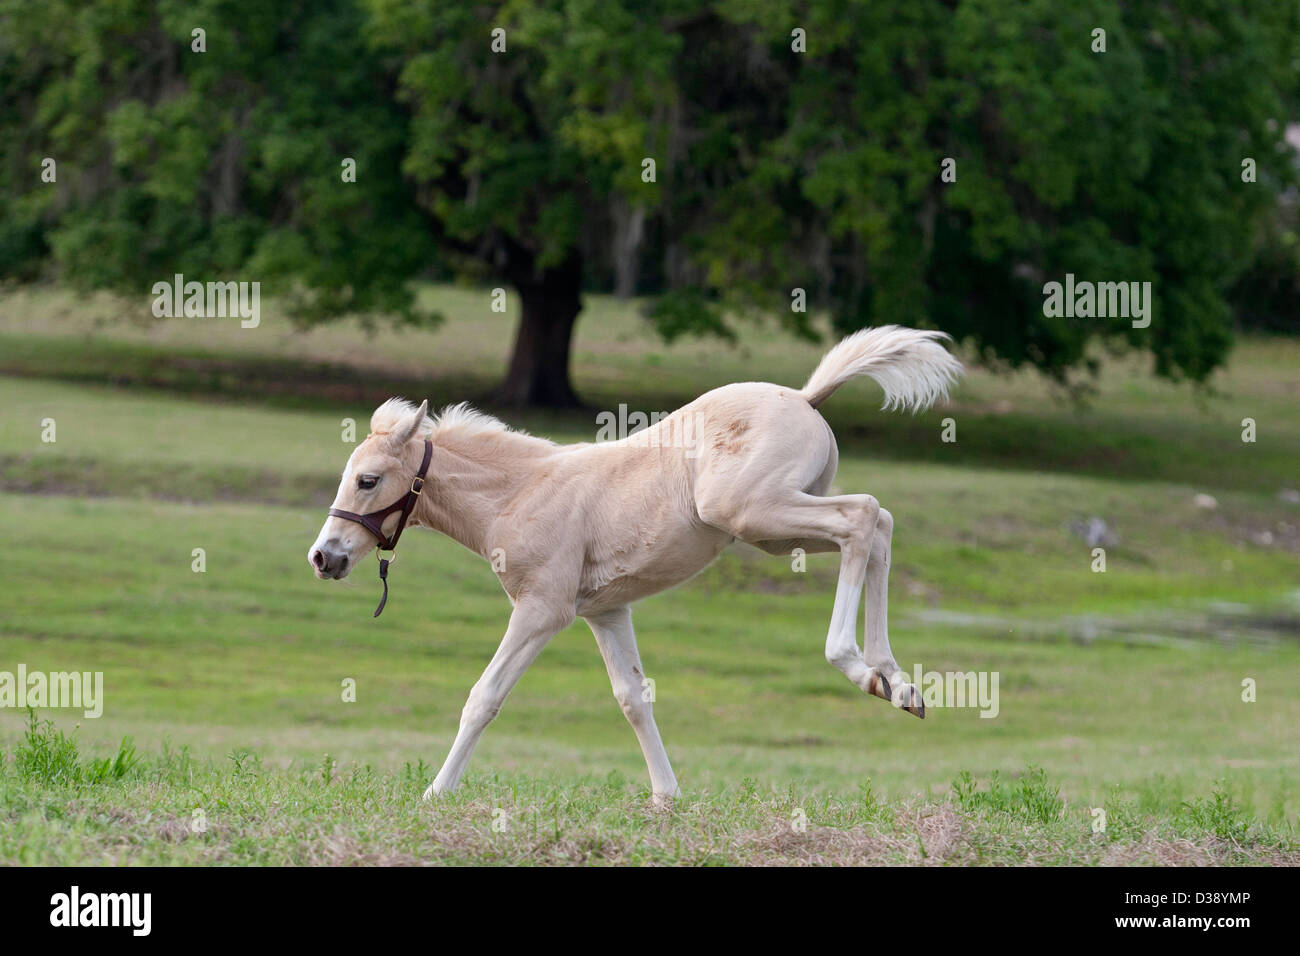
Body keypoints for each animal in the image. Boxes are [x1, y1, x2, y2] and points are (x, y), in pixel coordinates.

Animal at [312, 325, 967, 806]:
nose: (324, 557)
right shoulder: (606, 611)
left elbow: (484, 697)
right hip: (775, 530)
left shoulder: (542, 610)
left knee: (862, 517)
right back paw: (897, 681)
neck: (518, 493)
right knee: (878, 525)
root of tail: (804, 397)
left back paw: (859, 667)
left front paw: (434, 794)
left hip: (754, 512)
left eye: (367, 480)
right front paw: (666, 798)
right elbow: (633, 698)